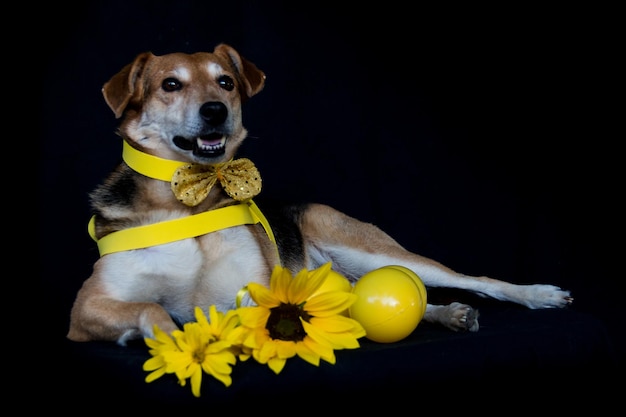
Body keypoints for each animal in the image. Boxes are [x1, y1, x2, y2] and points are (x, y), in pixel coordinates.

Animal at [67, 43, 572, 344]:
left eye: (225, 82)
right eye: (170, 84)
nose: (215, 111)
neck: (186, 202)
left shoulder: (255, 289)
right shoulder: (86, 308)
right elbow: (151, 306)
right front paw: (169, 336)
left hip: (366, 246)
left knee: (471, 279)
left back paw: (536, 295)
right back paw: (448, 315)